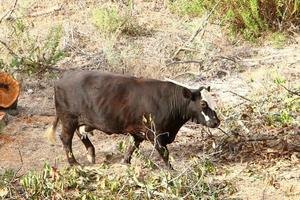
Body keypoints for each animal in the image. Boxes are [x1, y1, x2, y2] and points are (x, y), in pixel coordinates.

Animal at [47, 70, 220, 169]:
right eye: (203, 103)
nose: (216, 122)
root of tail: (61, 79)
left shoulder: (138, 131)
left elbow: (132, 146)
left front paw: (125, 162)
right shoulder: (154, 134)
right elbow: (164, 153)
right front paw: (171, 170)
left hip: (83, 120)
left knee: (80, 132)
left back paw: (91, 154)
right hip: (68, 118)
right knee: (66, 138)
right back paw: (74, 163)